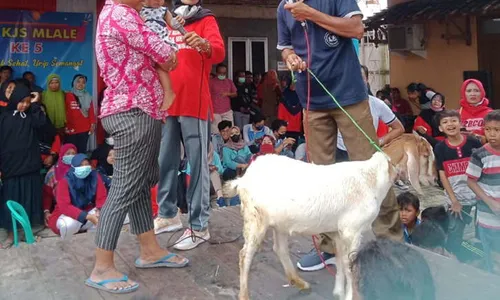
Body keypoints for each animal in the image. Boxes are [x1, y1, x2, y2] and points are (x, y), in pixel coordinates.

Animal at [225, 152, 396, 300]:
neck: (371, 179)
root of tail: (243, 179)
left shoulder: (339, 233)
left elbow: (341, 262)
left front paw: (339, 292)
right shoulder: (351, 231)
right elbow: (350, 266)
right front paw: (351, 296)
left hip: (280, 223)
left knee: (279, 249)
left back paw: (300, 282)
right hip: (255, 219)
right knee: (244, 256)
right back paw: (244, 295)